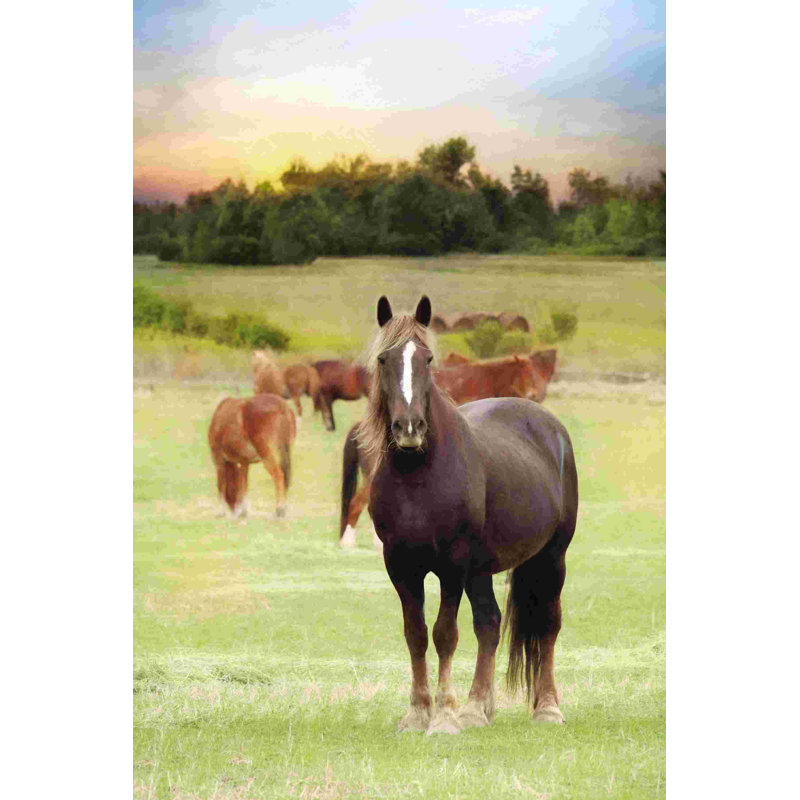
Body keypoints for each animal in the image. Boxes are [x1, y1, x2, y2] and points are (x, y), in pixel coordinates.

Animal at [358, 295, 578, 734]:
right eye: (384, 359)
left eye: (426, 359)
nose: (409, 428)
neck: (419, 474)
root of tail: (549, 424)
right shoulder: (400, 565)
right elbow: (416, 634)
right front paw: (417, 713)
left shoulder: (452, 565)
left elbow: (445, 634)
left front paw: (443, 717)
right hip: (482, 568)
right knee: (490, 624)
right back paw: (478, 708)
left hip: (552, 556)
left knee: (548, 625)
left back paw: (547, 707)